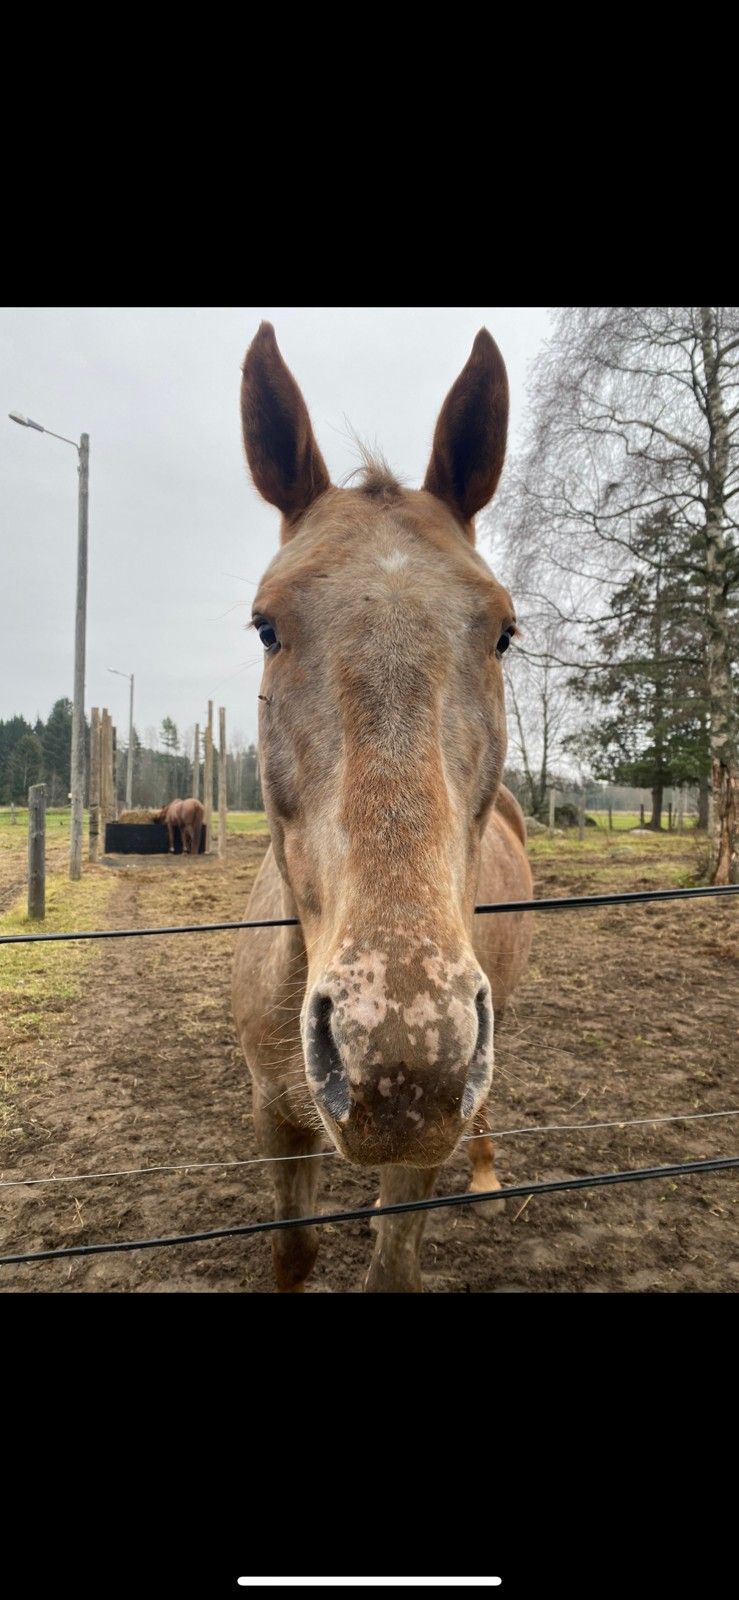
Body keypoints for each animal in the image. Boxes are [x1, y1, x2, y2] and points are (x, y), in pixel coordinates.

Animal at [233, 321, 534, 1286]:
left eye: (503, 631)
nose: (400, 1064)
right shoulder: (275, 1113)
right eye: (266, 626)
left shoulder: (423, 1142)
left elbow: (393, 1263)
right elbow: (292, 1249)